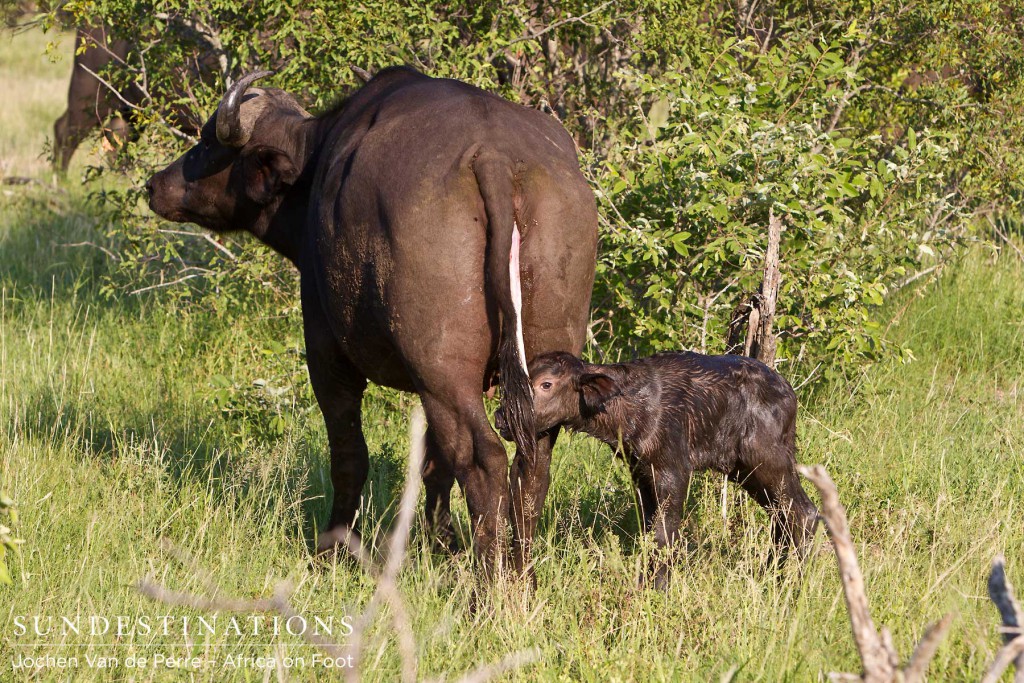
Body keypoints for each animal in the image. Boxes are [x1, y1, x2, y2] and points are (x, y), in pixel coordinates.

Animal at [148, 68, 602, 573]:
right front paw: (441, 542)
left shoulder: (326, 352)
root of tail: (496, 157)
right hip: (529, 364)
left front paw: (331, 548)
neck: (315, 163)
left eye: (208, 143)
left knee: (483, 456)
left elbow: (350, 455)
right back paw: (521, 568)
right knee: (531, 458)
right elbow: (433, 463)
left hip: (443, 372)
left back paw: (492, 579)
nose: (154, 185)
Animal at [495, 350, 815, 585]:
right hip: (745, 471)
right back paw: (771, 574)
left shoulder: (673, 468)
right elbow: (649, 533)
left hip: (768, 460)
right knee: (781, 516)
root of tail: (791, 396)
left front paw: (658, 587)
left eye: (546, 384)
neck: (624, 412)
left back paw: (793, 583)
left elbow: (664, 535)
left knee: (804, 512)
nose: (502, 418)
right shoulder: (640, 473)